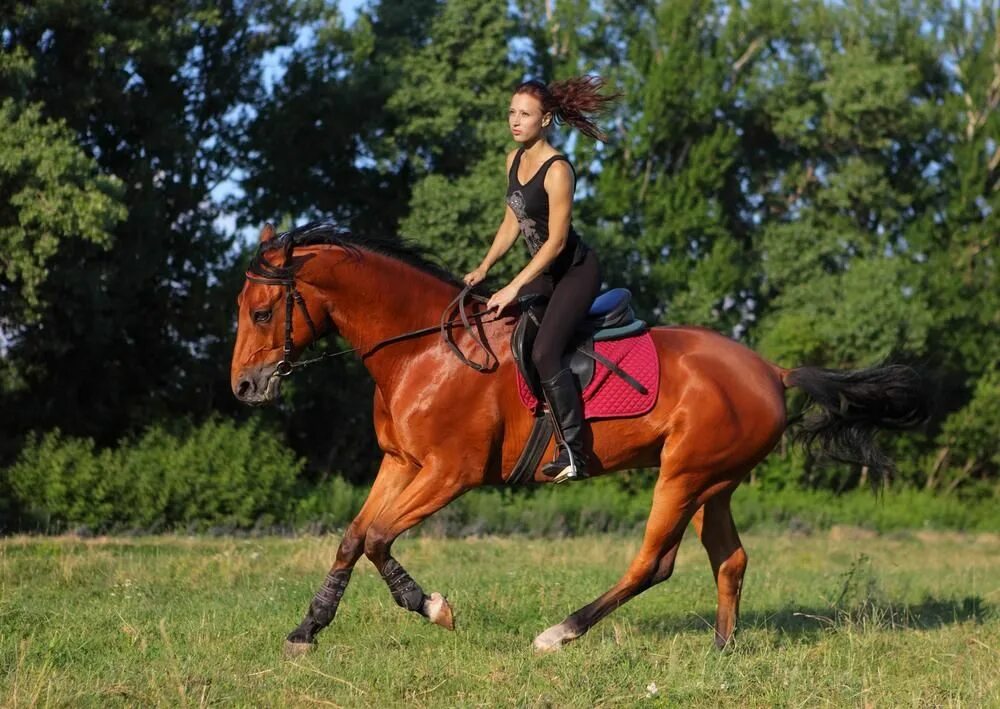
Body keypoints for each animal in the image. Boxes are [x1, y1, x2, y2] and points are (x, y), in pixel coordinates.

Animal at [230, 224, 924, 656]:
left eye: (262, 313)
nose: (244, 386)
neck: (424, 350)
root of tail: (772, 372)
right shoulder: (401, 463)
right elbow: (353, 537)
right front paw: (307, 630)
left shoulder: (449, 473)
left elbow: (377, 537)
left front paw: (433, 608)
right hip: (714, 483)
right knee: (728, 559)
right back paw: (722, 651)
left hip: (684, 477)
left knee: (654, 562)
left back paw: (558, 634)